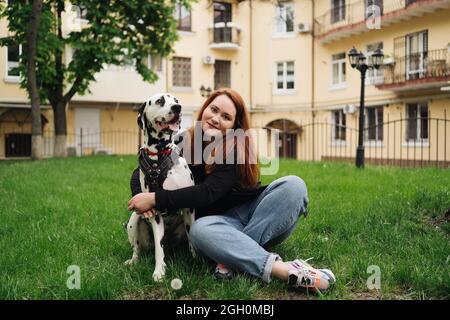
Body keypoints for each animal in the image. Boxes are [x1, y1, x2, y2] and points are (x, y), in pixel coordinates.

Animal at [126, 93, 197, 282]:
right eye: (159, 101)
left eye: (176, 101)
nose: (177, 108)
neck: (159, 156)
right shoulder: (155, 212)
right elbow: (159, 248)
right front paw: (159, 271)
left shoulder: (189, 208)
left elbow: (193, 240)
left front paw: (198, 261)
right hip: (133, 221)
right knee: (137, 248)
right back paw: (133, 261)